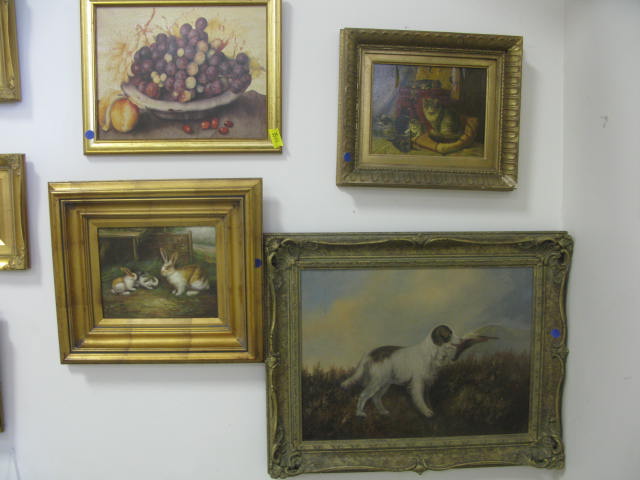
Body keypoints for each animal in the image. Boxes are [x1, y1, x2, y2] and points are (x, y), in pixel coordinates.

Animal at [341, 325, 496, 418]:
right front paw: (427, 412)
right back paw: (359, 413)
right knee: (364, 395)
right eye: (448, 334)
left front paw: (431, 410)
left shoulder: (427, 381)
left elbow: (427, 398)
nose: (462, 339)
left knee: (376, 397)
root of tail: (371, 353)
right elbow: (420, 398)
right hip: (378, 381)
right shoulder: (418, 382)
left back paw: (383, 412)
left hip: (385, 383)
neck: (431, 351)